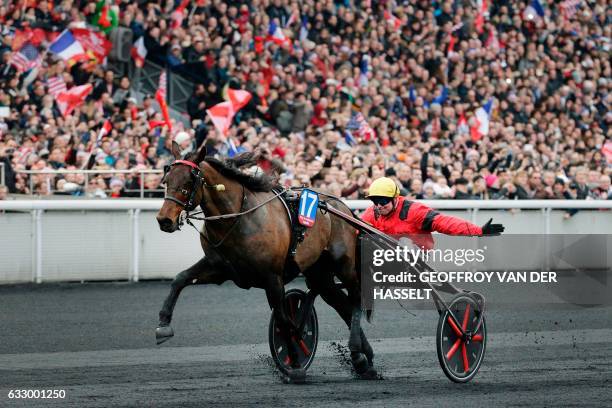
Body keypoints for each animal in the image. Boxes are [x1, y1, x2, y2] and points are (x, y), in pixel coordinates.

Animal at [154, 142, 378, 380]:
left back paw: (357, 350)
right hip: (320, 273)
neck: (239, 218)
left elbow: (283, 319)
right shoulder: (219, 268)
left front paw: (295, 361)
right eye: (166, 180)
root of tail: (344, 207)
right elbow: (180, 279)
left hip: (344, 265)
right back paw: (364, 360)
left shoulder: (273, 279)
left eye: (188, 181)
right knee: (341, 305)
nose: (164, 220)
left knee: (355, 298)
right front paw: (163, 325)